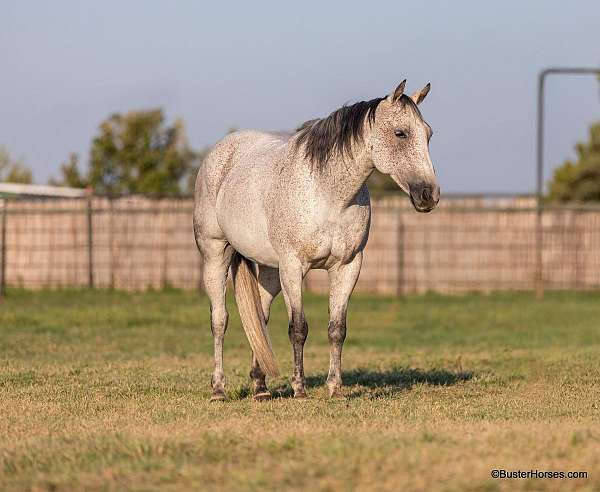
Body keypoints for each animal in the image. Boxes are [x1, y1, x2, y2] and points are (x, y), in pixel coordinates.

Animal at [195, 80, 438, 402]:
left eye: (428, 134)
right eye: (401, 133)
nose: (429, 195)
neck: (327, 193)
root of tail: (221, 152)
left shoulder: (348, 266)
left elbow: (337, 329)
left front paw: (335, 388)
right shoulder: (293, 267)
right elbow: (298, 328)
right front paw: (299, 389)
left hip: (270, 270)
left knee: (260, 318)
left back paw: (260, 388)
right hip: (216, 255)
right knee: (219, 320)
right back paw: (218, 390)